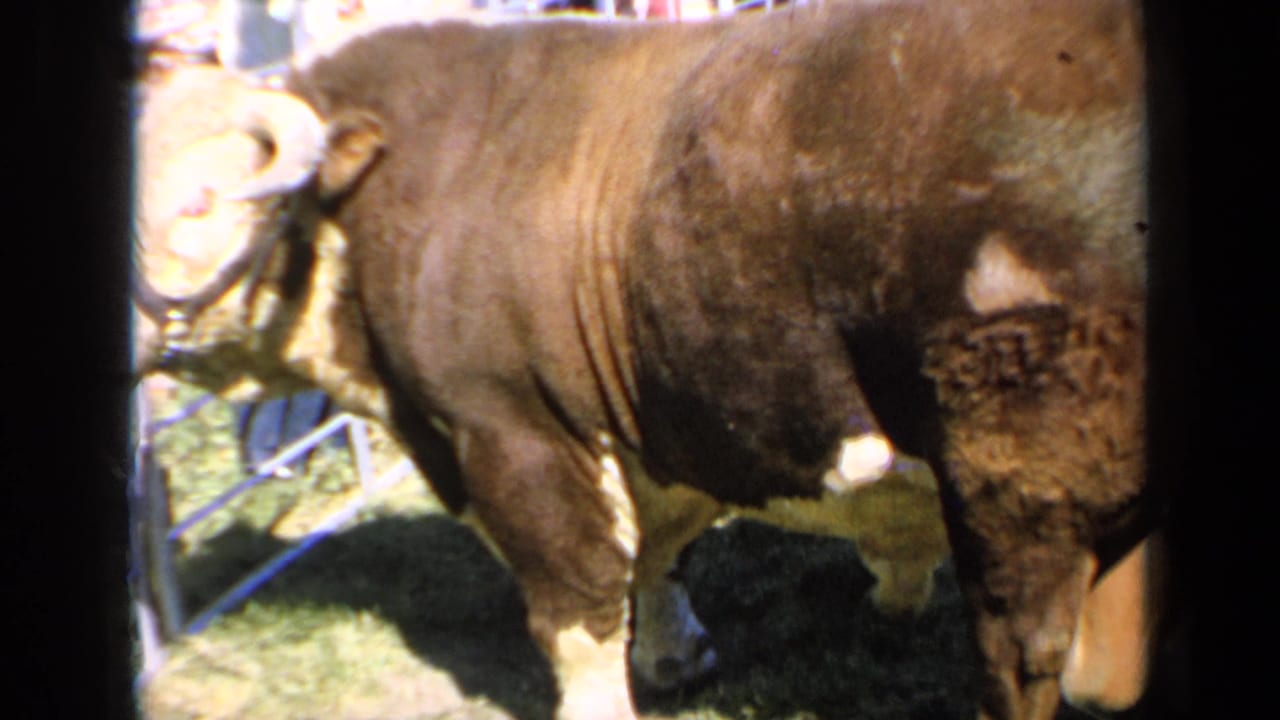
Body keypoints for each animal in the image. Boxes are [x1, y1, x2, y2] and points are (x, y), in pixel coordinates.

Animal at [132, 1, 1159, 718]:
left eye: (200, 201)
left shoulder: (511, 433)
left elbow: (578, 610)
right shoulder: (656, 425)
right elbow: (660, 552)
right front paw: (675, 659)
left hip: (1020, 488)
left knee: (1022, 656)